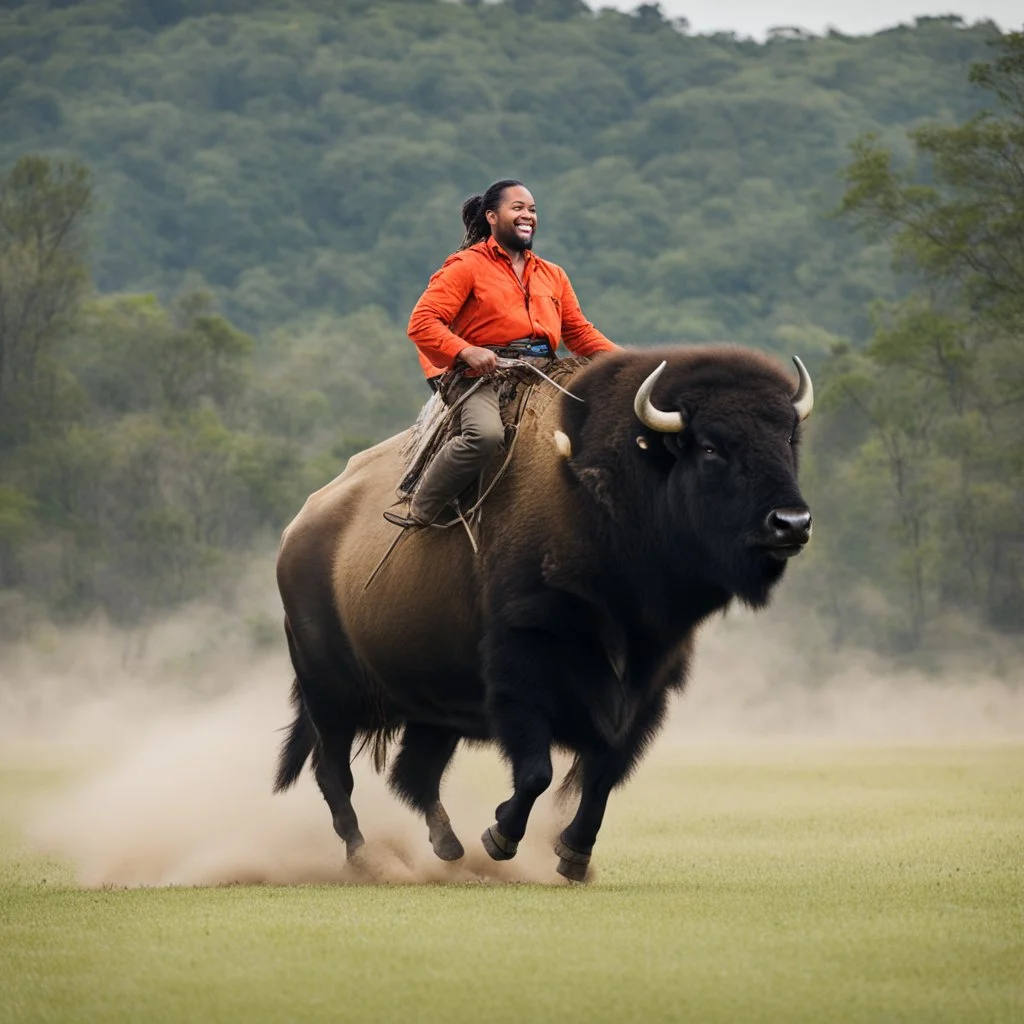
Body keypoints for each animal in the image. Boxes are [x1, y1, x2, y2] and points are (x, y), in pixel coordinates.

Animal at [274, 346, 815, 880]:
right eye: (709, 447)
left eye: (788, 437)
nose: (792, 522)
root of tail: (298, 529)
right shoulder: (523, 663)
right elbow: (537, 769)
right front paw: (500, 837)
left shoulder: (647, 682)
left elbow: (603, 772)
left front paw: (573, 855)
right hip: (329, 694)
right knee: (335, 773)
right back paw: (365, 859)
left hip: (430, 705)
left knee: (413, 775)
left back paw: (448, 847)